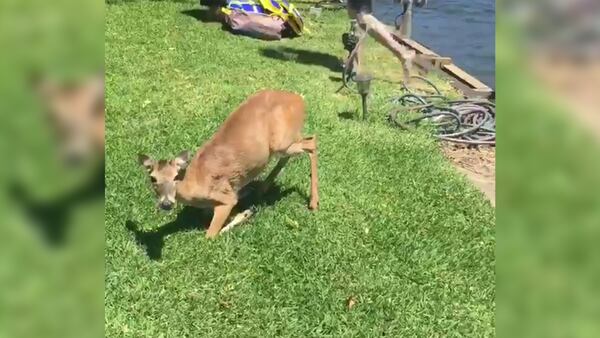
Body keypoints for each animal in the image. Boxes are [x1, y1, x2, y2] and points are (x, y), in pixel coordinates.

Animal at [139, 90, 322, 238]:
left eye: (176, 176)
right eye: (153, 178)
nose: (166, 204)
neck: (193, 183)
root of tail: (300, 100)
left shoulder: (224, 197)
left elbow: (210, 235)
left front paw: (247, 212)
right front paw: (246, 203)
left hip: (282, 142)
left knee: (311, 142)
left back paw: (313, 203)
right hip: (283, 144)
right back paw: (262, 188)